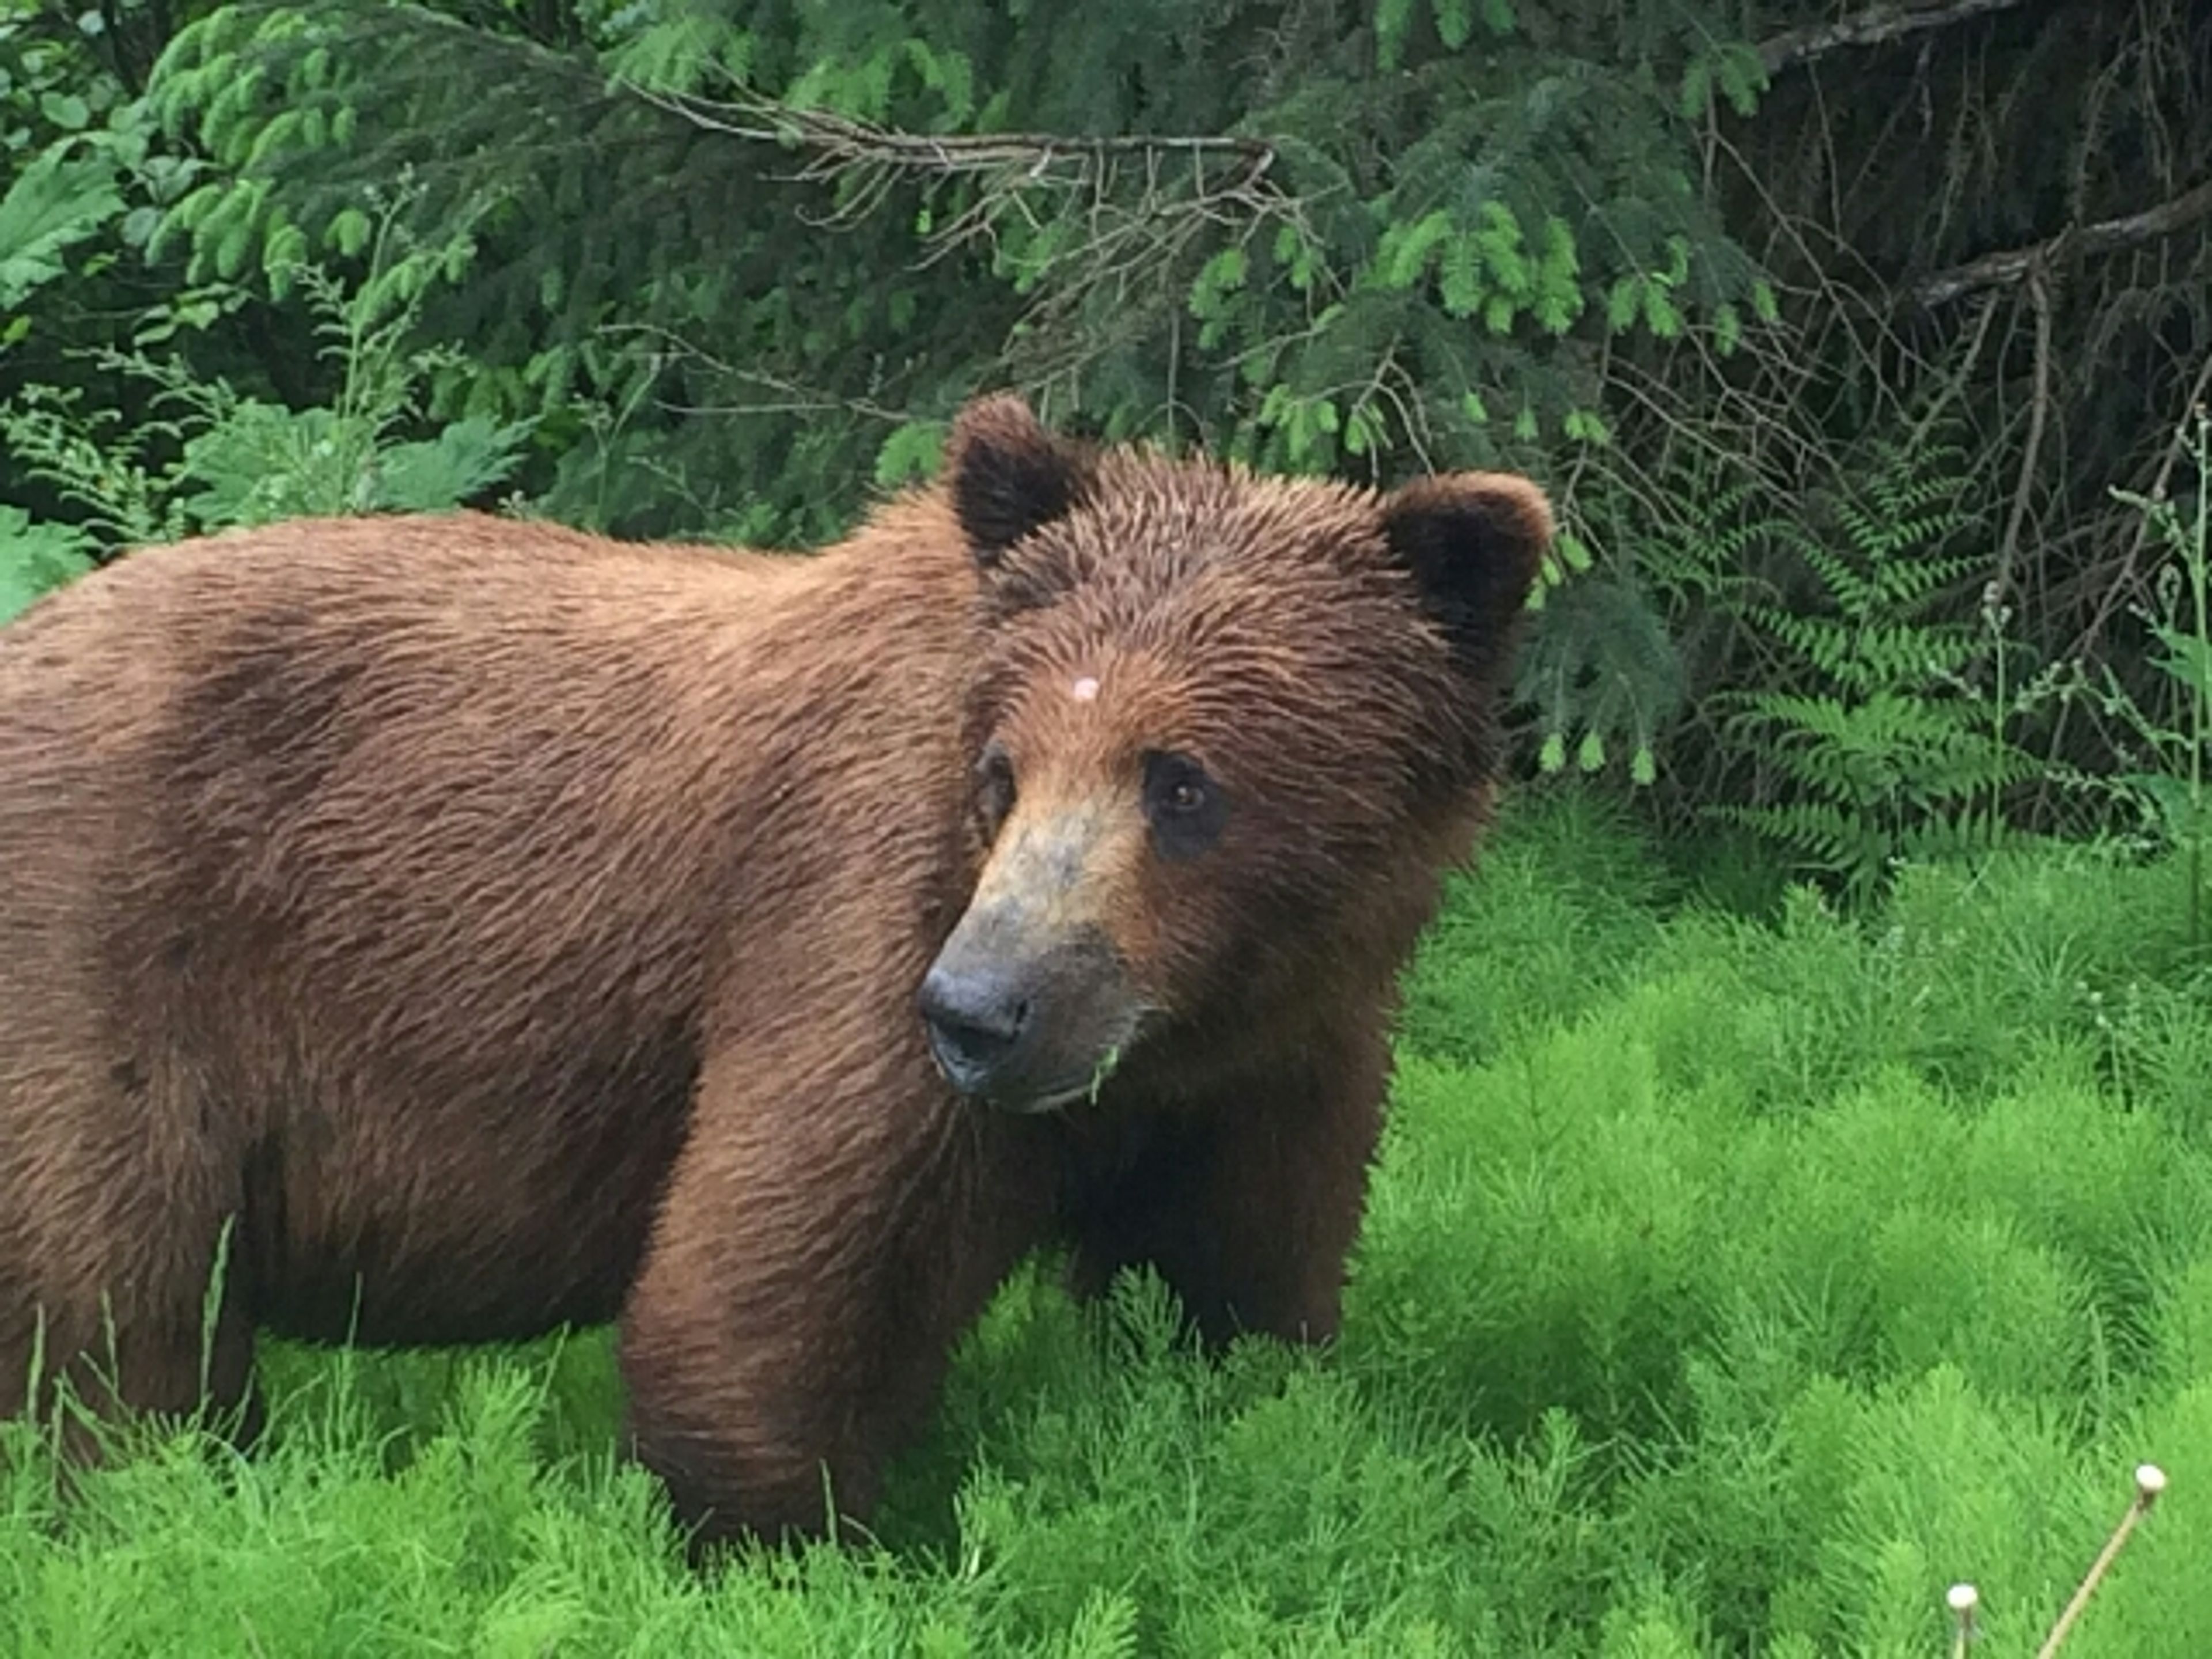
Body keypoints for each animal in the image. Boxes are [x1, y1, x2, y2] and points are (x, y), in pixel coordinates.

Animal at [0, 392, 1551, 1550]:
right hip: (107, 968)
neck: (1193, 1015)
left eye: (1182, 782)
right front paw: (805, 1551)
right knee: (125, 1315)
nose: (982, 1014)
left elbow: (1240, 1278)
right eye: (1003, 771)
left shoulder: (1276, 1058)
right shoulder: (855, 910)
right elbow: (774, 1277)